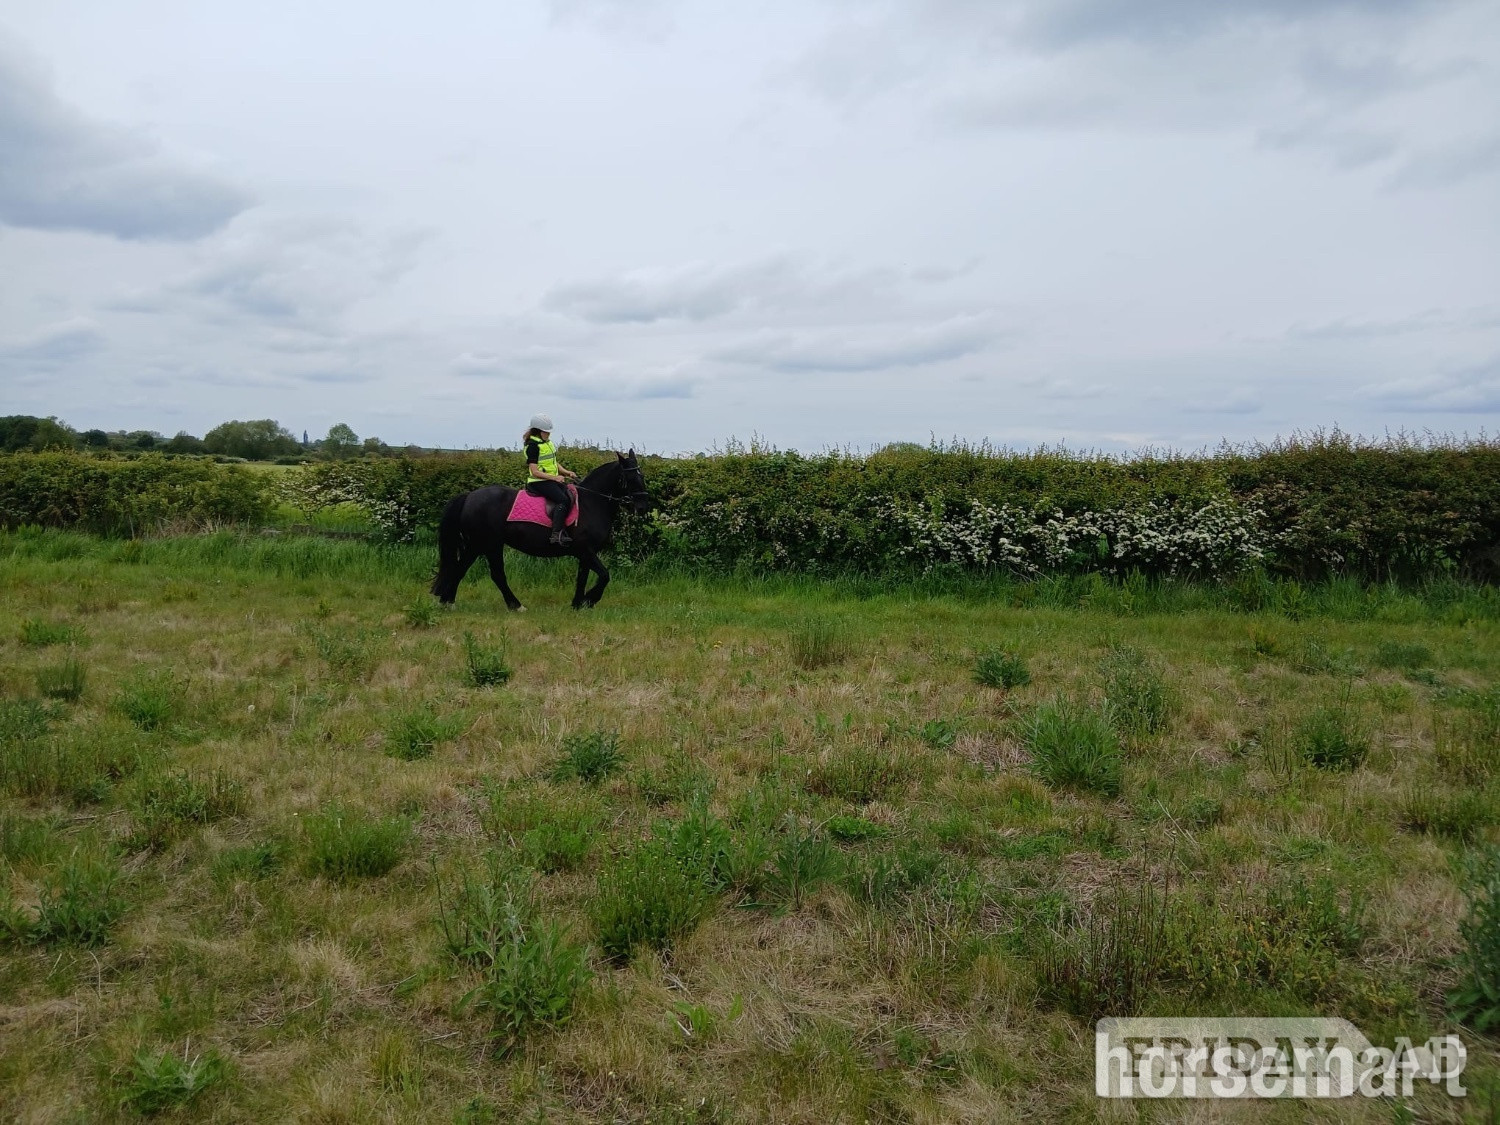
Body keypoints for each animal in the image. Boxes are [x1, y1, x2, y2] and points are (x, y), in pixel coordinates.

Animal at [430, 450, 649, 610]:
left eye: (643, 476)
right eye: (631, 477)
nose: (643, 507)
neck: (592, 502)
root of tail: (469, 497)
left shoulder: (585, 553)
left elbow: (582, 578)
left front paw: (577, 604)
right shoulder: (585, 550)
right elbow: (604, 575)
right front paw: (590, 600)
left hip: (477, 545)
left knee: (461, 568)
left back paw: (447, 601)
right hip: (488, 544)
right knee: (494, 574)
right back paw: (515, 605)